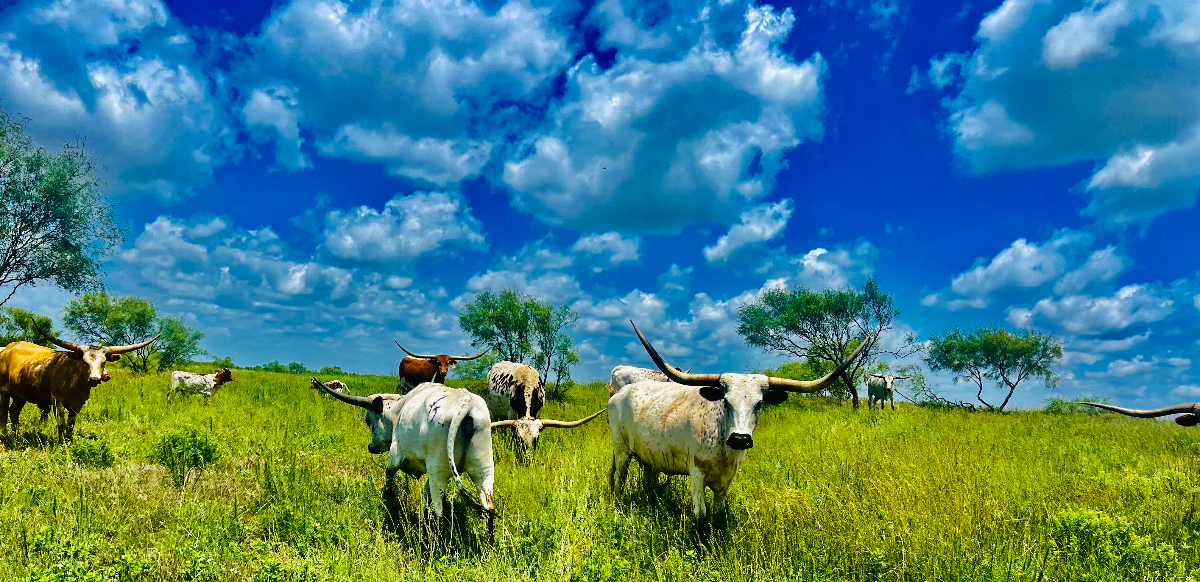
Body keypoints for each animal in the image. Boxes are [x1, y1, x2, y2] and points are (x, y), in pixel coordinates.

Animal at [0, 327, 159, 440]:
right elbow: (61, 423)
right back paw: (6, 437)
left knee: (13, 412)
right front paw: (61, 443)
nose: (95, 379)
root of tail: (8, 348)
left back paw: (17, 436)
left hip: (20, 395)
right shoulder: (57, 401)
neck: (75, 382)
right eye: (84, 362)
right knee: (3, 413)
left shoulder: (78, 404)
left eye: (104, 362)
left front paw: (69, 441)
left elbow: (70, 425)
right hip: (4, 390)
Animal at [312, 378, 497, 540]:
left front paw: (388, 497)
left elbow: (389, 475)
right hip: (483, 471)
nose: (371, 447)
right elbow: (425, 494)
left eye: (368, 420)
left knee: (440, 512)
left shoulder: (395, 454)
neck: (398, 410)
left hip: (438, 471)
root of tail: (467, 403)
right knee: (489, 509)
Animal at [608, 321, 870, 517]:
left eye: (760, 403)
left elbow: (718, 515)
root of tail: (619, 393)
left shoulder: (727, 481)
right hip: (621, 451)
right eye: (725, 401)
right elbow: (701, 516)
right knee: (619, 480)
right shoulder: (696, 475)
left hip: (649, 457)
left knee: (648, 478)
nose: (741, 439)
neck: (722, 445)